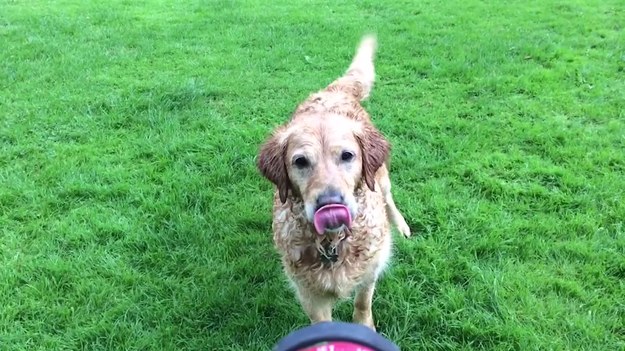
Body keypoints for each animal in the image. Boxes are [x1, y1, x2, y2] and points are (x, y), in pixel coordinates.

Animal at [255, 34, 410, 332]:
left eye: (347, 156)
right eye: (300, 162)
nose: (329, 203)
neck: (331, 242)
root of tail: (334, 91)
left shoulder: (370, 270)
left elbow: (363, 302)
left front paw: (364, 327)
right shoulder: (307, 292)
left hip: (381, 177)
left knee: (388, 197)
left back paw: (401, 225)